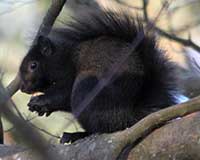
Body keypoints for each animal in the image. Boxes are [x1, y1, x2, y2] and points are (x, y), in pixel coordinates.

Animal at [18, 9, 188, 143]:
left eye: (33, 65)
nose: (22, 87)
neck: (60, 58)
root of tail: (132, 114)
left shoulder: (68, 73)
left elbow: (63, 93)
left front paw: (40, 100)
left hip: (87, 87)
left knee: (103, 127)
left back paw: (76, 135)